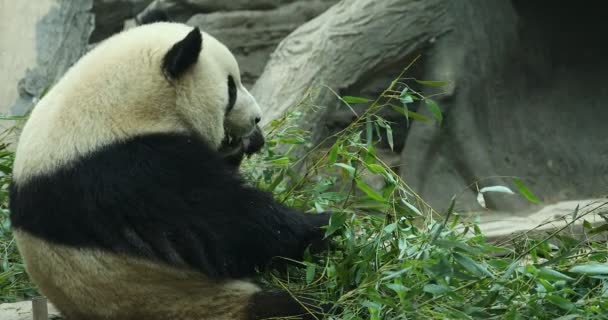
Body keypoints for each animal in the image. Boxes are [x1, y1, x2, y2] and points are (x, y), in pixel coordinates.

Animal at [8, 21, 332, 318]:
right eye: (230, 87)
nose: (256, 119)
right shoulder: (127, 169)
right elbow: (225, 222)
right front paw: (323, 225)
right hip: (188, 299)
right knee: (291, 308)